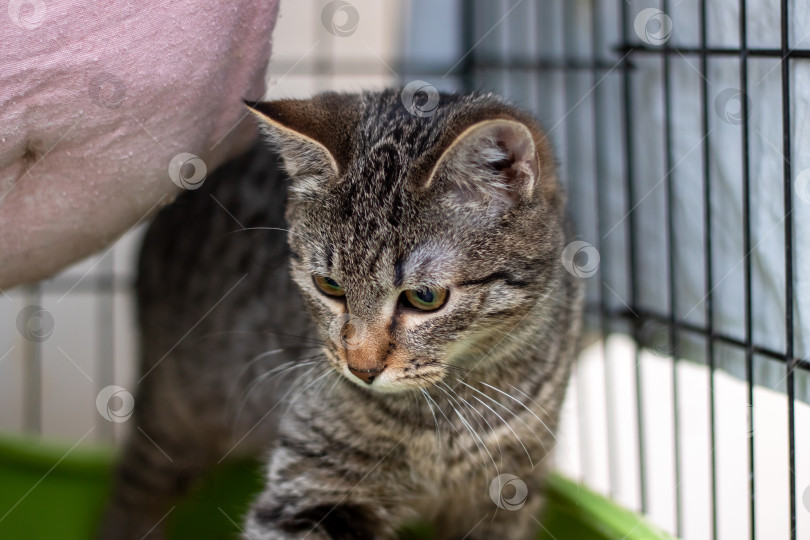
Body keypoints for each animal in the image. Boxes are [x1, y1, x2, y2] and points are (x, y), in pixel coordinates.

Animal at [99, 89, 580, 540]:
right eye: (328, 286)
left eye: (425, 297)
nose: (361, 369)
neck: (442, 418)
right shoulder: (316, 481)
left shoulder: (509, 490)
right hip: (174, 411)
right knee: (134, 490)